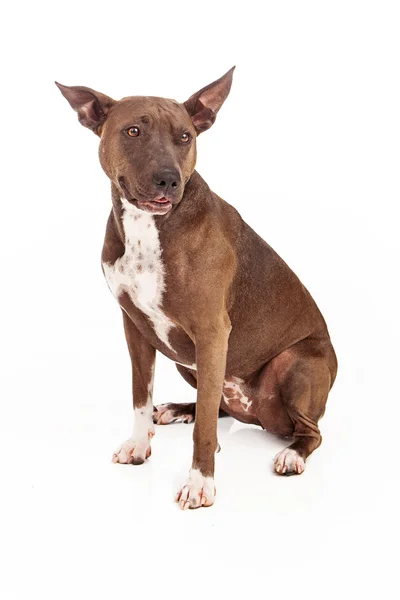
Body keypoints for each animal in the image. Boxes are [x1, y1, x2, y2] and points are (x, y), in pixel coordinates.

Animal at [57, 69, 338, 510]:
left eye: (185, 137)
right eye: (133, 130)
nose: (168, 179)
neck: (148, 228)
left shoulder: (211, 332)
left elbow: (205, 428)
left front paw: (200, 481)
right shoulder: (136, 328)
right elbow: (140, 396)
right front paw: (140, 445)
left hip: (294, 364)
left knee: (308, 430)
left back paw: (292, 453)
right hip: (187, 361)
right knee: (219, 405)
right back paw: (178, 408)